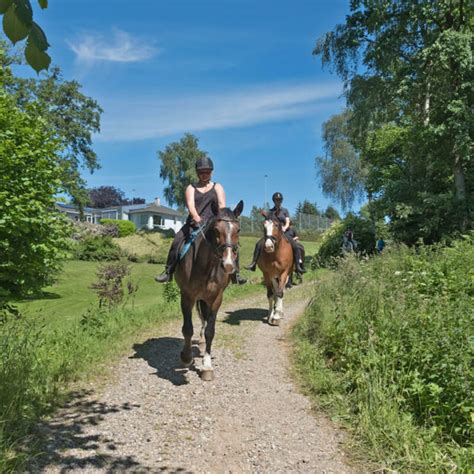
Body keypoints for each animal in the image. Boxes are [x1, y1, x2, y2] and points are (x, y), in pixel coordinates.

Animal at [173, 201, 243, 382]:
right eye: (216, 230)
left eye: (238, 230)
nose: (228, 264)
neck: (207, 267)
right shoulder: (187, 297)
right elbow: (187, 329)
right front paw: (186, 357)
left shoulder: (216, 298)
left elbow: (210, 331)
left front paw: (207, 366)